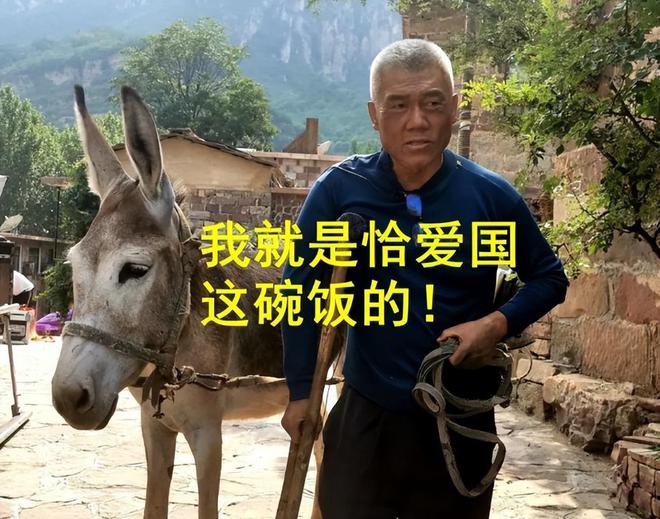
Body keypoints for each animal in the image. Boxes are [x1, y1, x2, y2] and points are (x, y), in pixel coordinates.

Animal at [51, 85, 324, 519]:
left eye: (135, 269)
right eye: (74, 265)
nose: (67, 399)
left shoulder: (208, 433)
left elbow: (207, 508)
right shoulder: (154, 425)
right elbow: (153, 507)